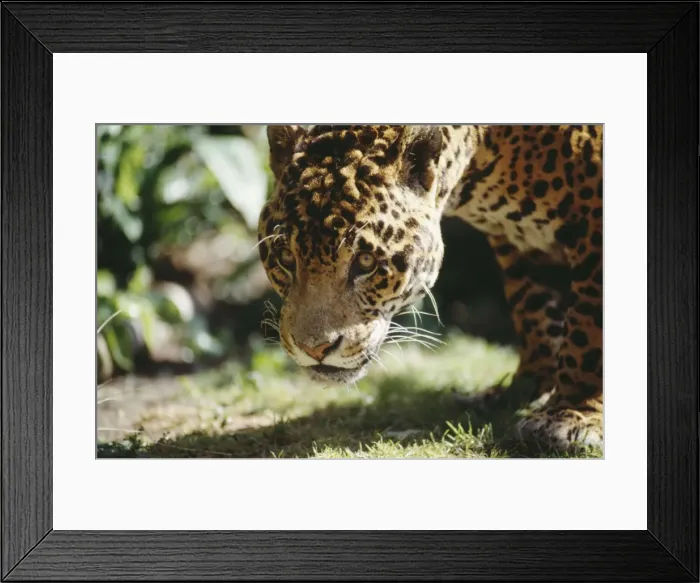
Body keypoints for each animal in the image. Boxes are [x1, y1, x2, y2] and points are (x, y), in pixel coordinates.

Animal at [257, 124, 603, 451]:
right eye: (285, 257)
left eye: (366, 262)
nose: (315, 349)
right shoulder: (516, 243)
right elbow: (533, 311)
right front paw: (523, 390)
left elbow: (587, 329)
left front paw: (572, 414)